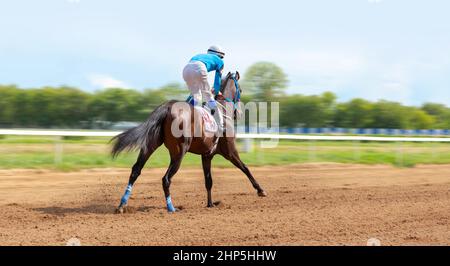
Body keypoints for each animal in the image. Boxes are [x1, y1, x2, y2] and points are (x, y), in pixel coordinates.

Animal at [112, 71, 266, 213]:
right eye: (241, 89)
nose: (238, 113)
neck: (222, 111)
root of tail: (168, 106)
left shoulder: (207, 155)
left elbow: (208, 180)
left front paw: (210, 204)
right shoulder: (230, 152)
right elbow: (245, 168)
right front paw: (260, 190)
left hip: (150, 145)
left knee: (136, 170)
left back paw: (122, 204)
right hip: (179, 152)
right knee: (166, 179)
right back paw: (171, 207)